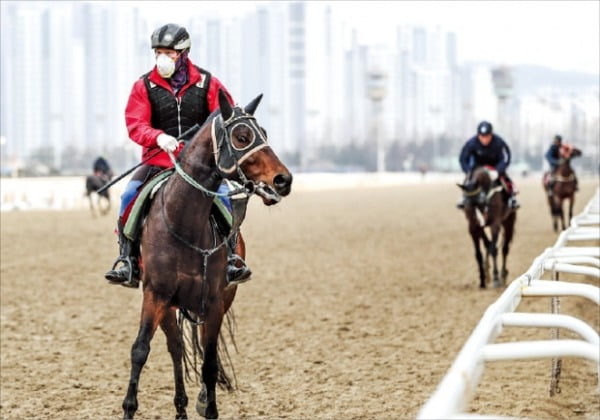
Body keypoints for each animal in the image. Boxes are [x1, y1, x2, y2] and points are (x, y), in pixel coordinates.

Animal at [120, 90, 292, 418]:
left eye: (264, 133)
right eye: (241, 136)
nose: (283, 180)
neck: (183, 221)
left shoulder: (212, 301)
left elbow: (209, 362)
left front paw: (208, 406)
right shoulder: (155, 294)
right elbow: (140, 350)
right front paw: (128, 408)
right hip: (169, 305)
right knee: (176, 348)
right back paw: (180, 408)